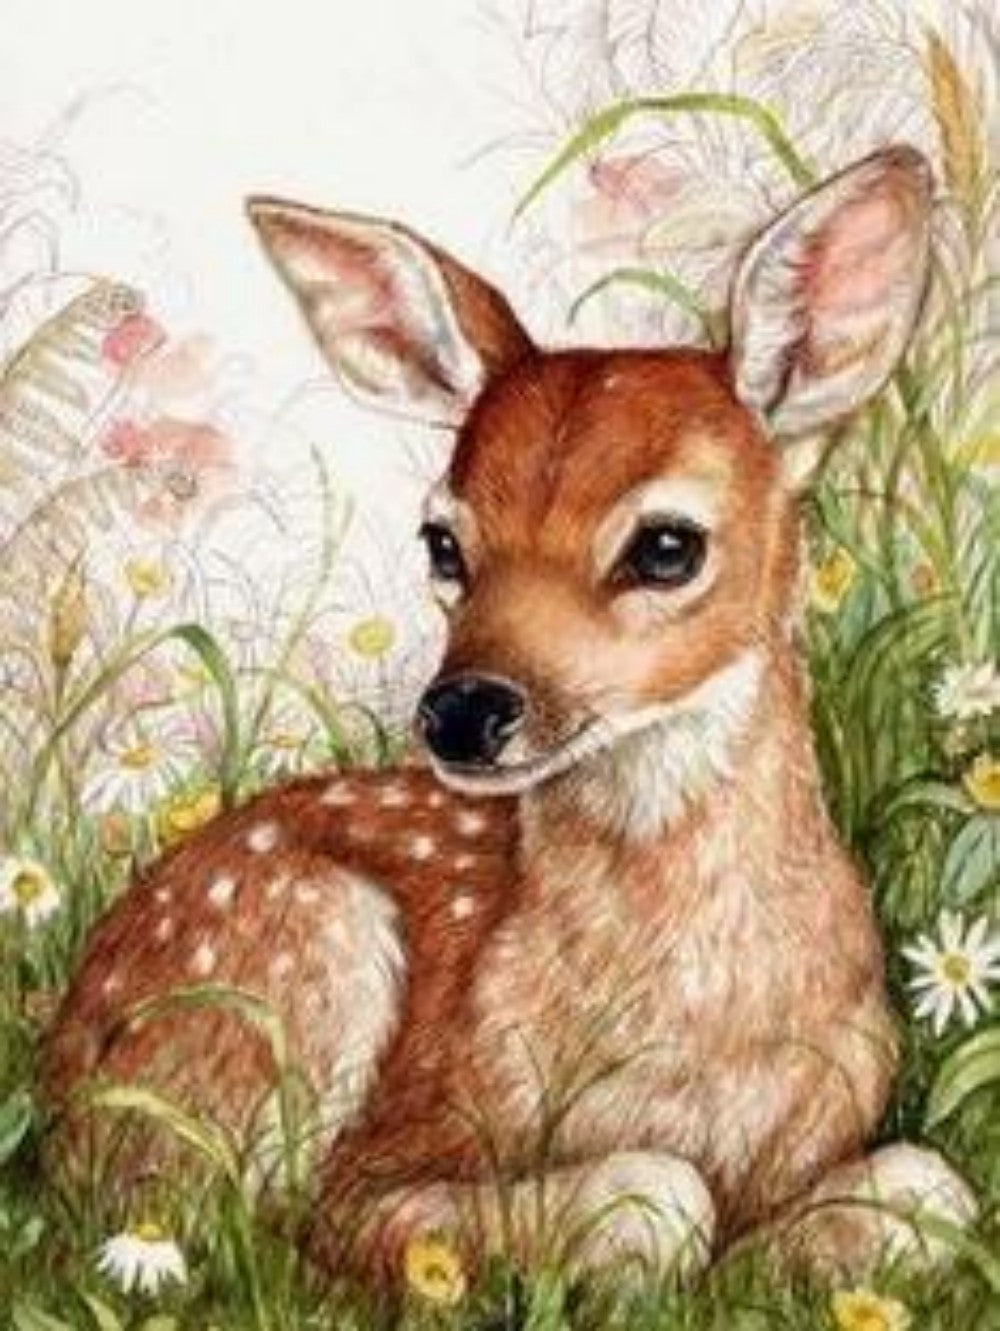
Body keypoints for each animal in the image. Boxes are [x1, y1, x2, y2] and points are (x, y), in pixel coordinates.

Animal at [42, 145, 977, 1286]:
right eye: (443, 542)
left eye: (667, 546)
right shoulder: (375, 1166)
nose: (463, 708)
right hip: (296, 952)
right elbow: (659, 1194)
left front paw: (791, 1243)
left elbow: (932, 1181)